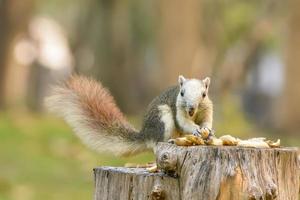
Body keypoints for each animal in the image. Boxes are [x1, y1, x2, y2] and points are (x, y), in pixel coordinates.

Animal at [45, 74, 213, 156]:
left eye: (204, 94)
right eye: (182, 93)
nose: (191, 107)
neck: (193, 114)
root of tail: (145, 134)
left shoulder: (207, 109)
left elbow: (206, 121)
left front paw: (207, 131)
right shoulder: (178, 110)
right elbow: (183, 122)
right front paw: (195, 129)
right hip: (163, 120)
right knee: (157, 144)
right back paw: (170, 141)